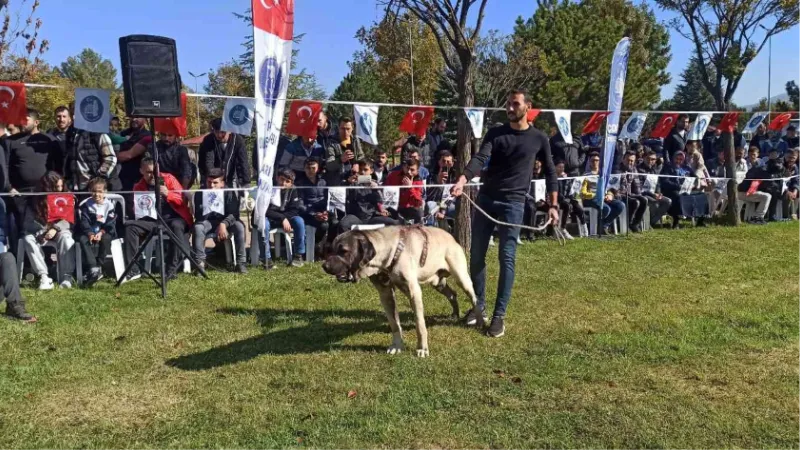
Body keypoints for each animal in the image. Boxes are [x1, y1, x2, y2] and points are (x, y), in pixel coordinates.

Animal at [320, 227, 482, 356]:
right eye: (331, 249)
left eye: (344, 251)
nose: (324, 266)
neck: (386, 255)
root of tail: (451, 236)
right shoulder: (385, 294)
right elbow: (394, 324)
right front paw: (397, 346)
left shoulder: (414, 292)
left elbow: (419, 324)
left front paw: (422, 349)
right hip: (438, 282)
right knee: (452, 294)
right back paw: (455, 314)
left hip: (461, 277)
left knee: (474, 298)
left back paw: (480, 321)